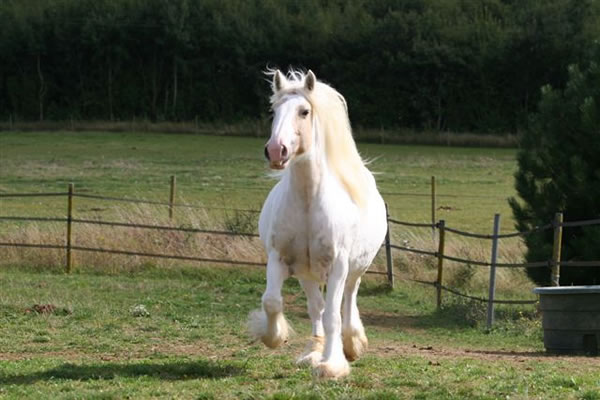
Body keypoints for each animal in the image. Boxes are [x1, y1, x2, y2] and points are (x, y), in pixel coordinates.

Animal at [250, 69, 386, 378]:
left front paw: (331, 365)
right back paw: (313, 351)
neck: (308, 204)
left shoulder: (338, 266)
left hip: (353, 270)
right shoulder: (280, 259)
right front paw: (274, 337)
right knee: (316, 308)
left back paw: (351, 344)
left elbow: (334, 316)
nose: (276, 151)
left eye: (304, 111)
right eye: (274, 110)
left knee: (347, 302)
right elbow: (272, 301)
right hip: (307, 273)